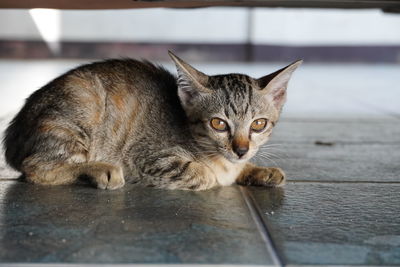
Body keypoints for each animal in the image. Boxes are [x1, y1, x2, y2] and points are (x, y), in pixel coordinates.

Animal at [2, 51, 300, 191]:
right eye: (218, 124)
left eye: (259, 124)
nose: (241, 150)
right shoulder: (147, 157)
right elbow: (204, 175)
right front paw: (217, 175)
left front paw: (259, 170)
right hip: (81, 108)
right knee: (34, 168)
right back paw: (100, 170)